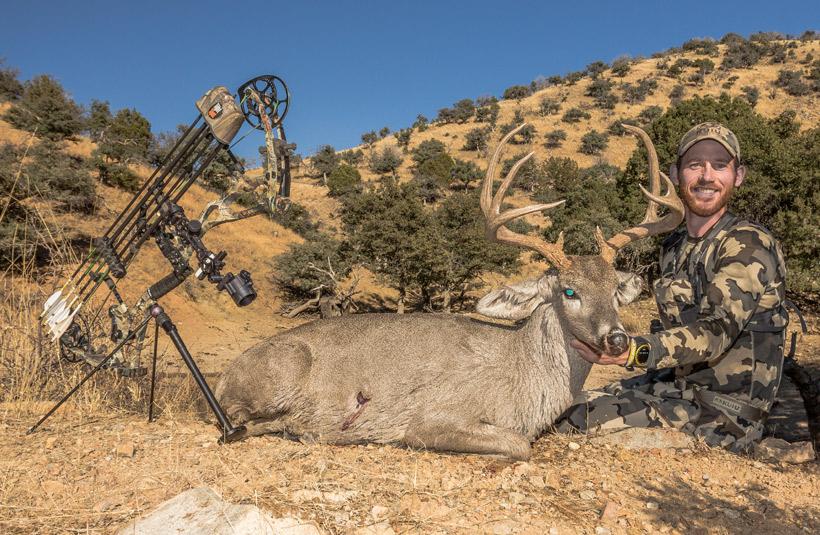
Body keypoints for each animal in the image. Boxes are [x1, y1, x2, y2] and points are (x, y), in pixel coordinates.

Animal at [214, 124, 683, 460]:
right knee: (234, 418)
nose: (617, 338)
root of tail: (223, 375)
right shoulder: (432, 416)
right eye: (569, 291)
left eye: (614, 288)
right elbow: (519, 445)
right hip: (283, 369)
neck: (522, 375)